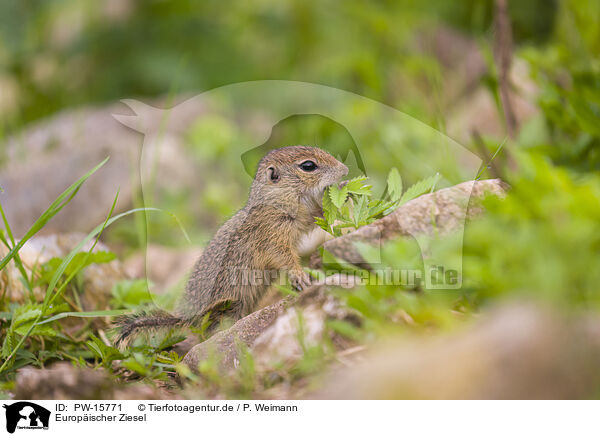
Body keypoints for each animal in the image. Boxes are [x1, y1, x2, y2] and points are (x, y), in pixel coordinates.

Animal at [114, 146, 346, 344]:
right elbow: (283, 255)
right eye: (308, 165)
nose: (345, 169)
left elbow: (313, 218)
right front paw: (300, 276)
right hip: (227, 307)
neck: (274, 200)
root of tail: (185, 317)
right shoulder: (270, 232)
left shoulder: (300, 220)